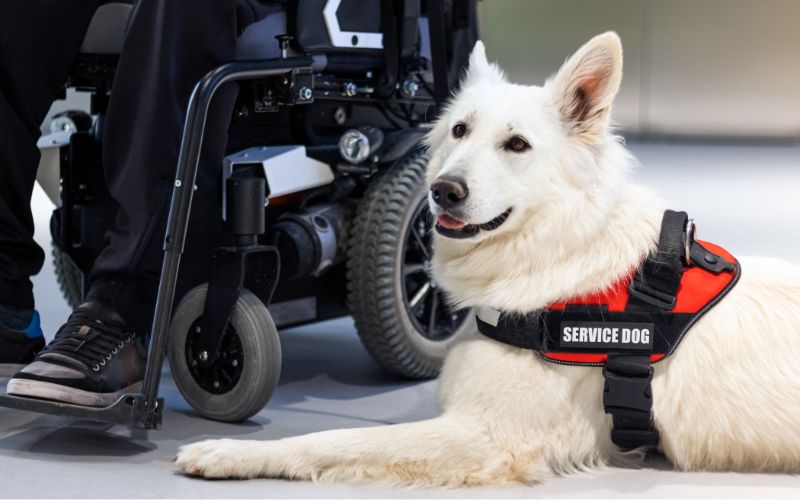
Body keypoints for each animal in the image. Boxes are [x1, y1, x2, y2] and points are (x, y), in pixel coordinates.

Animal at [175, 33, 800, 486]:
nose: (442, 191)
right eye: (459, 130)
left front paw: (228, 452)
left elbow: (332, 440)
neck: (557, 254)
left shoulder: (488, 437)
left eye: (517, 145)